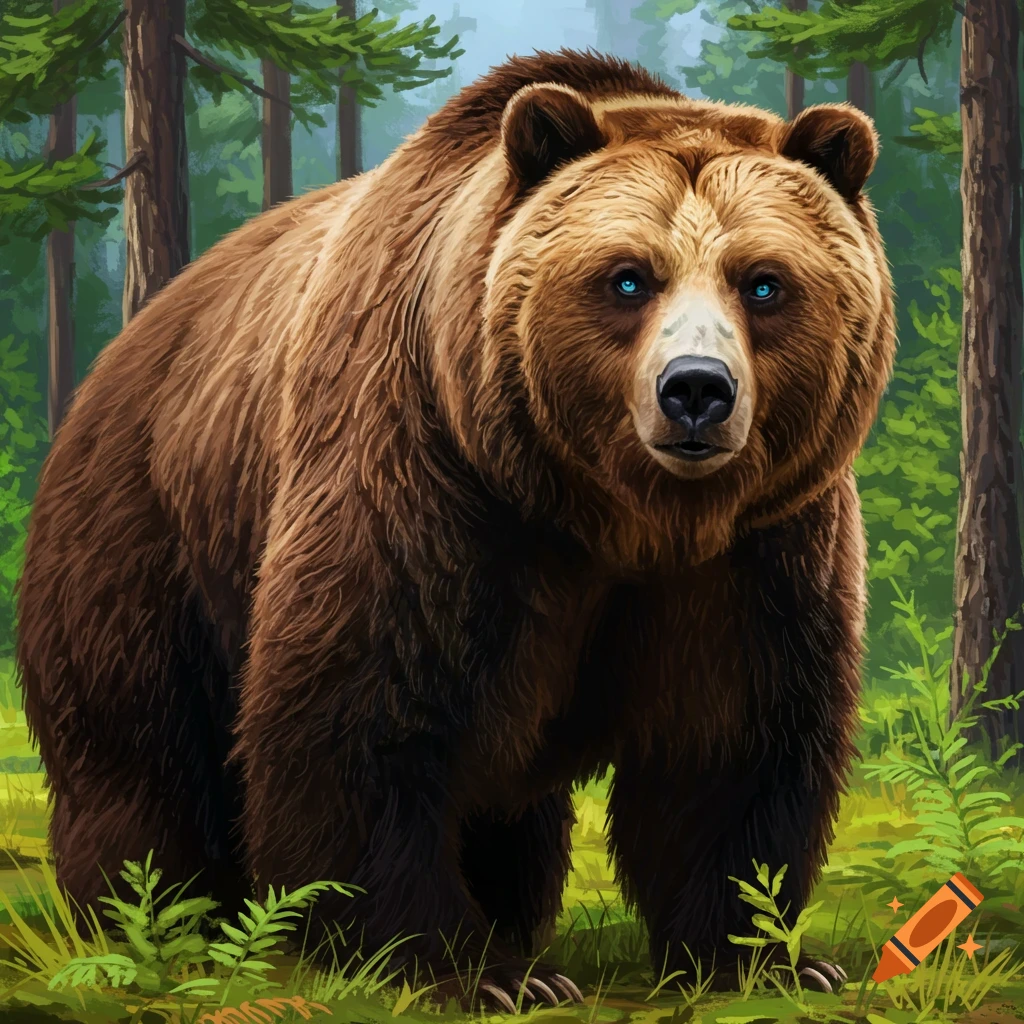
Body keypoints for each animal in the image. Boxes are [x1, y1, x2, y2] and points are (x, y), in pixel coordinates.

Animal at [16, 49, 894, 1010]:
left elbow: (733, 742)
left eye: (764, 281)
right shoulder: (430, 480)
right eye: (628, 276)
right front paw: (470, 971)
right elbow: (366, 712)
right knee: (142, 757)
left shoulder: (759, 543)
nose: (696, 389)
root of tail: (119, 351)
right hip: (146, 540)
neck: (616, 515)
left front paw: (769, 957)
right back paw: (158, 921)